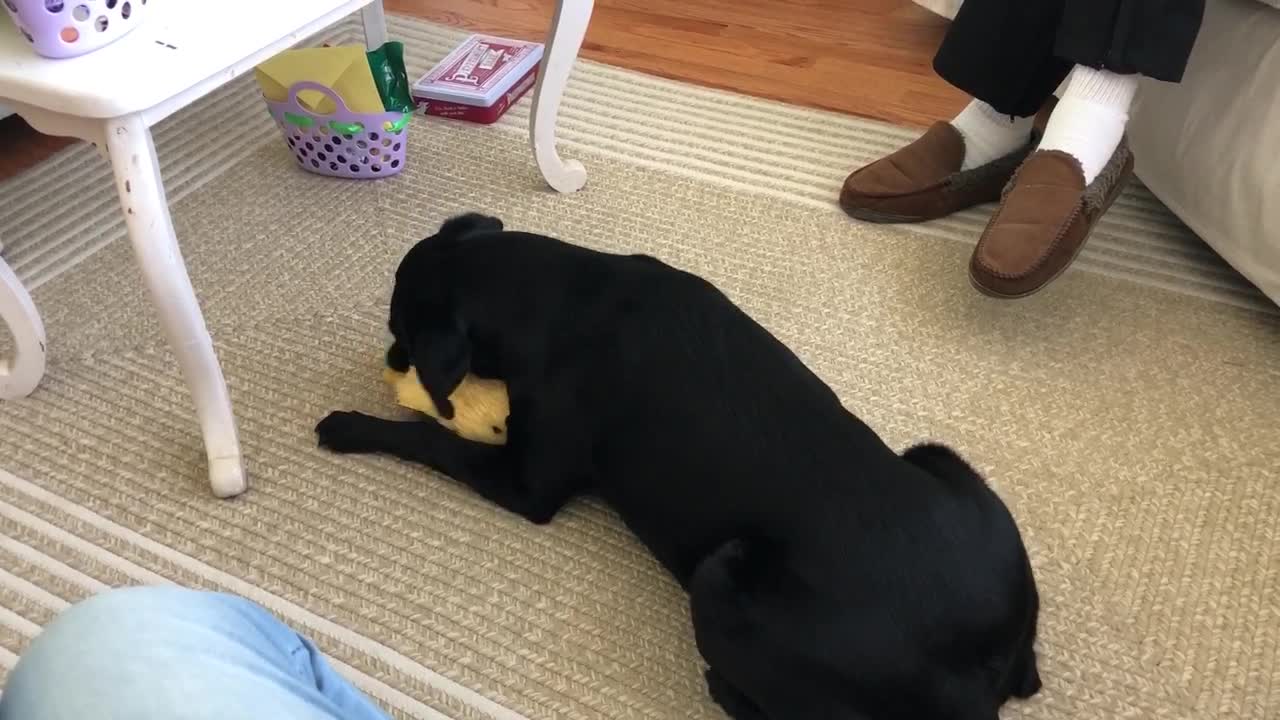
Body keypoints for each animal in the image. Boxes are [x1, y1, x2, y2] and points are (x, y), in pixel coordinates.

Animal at [317, 212, 1039, 717]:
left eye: (401, 331)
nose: (391, 358)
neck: (563, 295)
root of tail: (986, 670)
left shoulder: (528, 484)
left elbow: (432, 441)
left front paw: (348, 425)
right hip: (940, 459)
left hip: (721, 578)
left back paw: (726, 689)